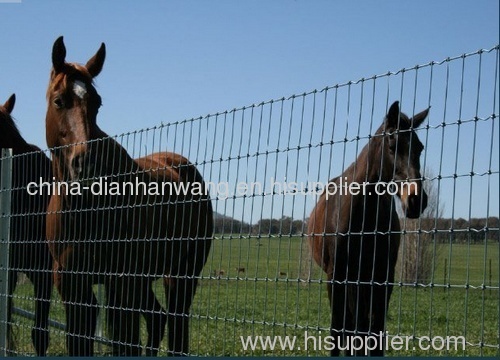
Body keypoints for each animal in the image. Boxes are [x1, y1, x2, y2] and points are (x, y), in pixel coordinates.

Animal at [44, 35, 212, 356]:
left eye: (96, 103)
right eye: (59, 100)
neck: (85, 209)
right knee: (158, 318)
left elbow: (126, 343)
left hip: (179, 276)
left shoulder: (122, 283)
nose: (87, 164)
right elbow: (78, 342)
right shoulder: (71, 284)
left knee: (176, 326)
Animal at [308, 100, 430, 354]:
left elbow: (375, 332)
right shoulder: (336, 276)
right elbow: (338, 329)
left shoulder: (383, 277)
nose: (416, 200)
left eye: (420, 147)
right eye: (393, 145)